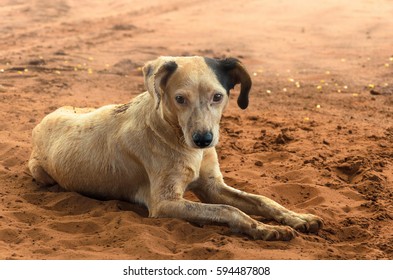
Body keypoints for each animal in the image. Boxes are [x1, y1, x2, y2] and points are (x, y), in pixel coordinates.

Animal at [28, 56, 322, 241]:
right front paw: (263, 228)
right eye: (180, 99)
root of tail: (44, 119)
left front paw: (298, 218)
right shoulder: (165, 203)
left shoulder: (212, 186)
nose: (204, 139)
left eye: (218, 97)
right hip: (39, 172)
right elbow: (227, 210)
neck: (176, 137)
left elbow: (262, 200)